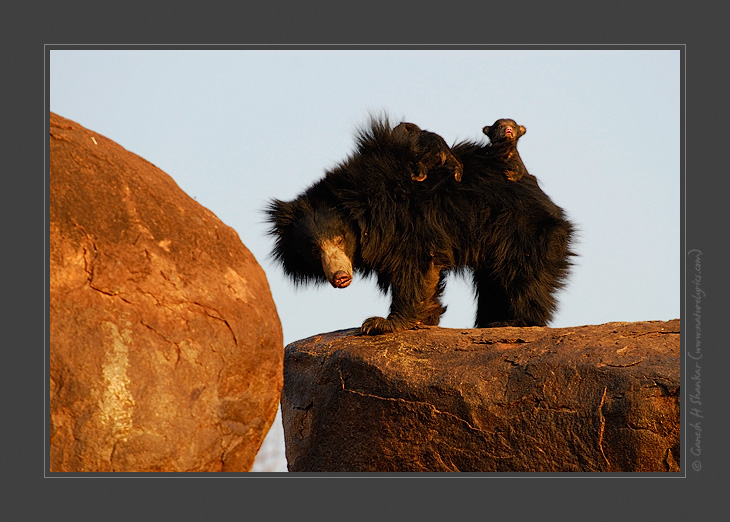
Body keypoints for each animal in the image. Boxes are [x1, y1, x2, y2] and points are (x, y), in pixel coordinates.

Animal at [266, 115, 575, 335]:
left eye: (340, 239)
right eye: (313, 250)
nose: (340, 277)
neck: (364, 212)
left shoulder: (407, 221)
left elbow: (414, 264)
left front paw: (381, 324)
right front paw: (426, 316)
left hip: (519, 228)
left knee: (522, 274)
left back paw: (514, 321)